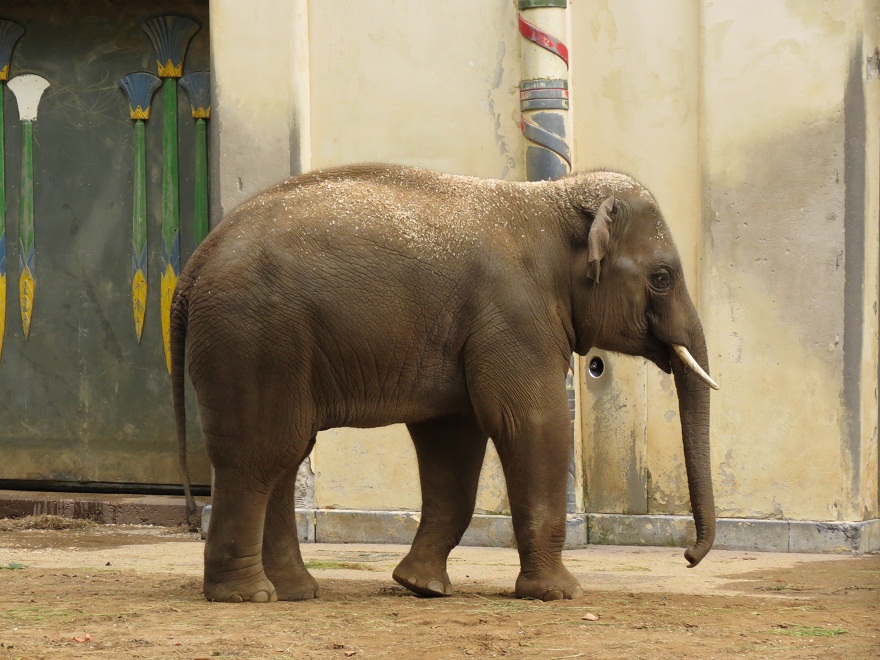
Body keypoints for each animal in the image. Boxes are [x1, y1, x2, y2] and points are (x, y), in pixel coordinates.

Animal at [170, 163, 718, 603]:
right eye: (662, 278)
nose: (689, 558)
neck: (551, 197)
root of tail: (195, 263)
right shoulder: (514, 316)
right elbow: (533, 425)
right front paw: (559, 594)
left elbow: (452, 442)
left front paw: (422, 586)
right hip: (254, 340)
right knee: (260, 455)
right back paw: (247, 597)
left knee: (285, 456)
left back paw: (296, 592)